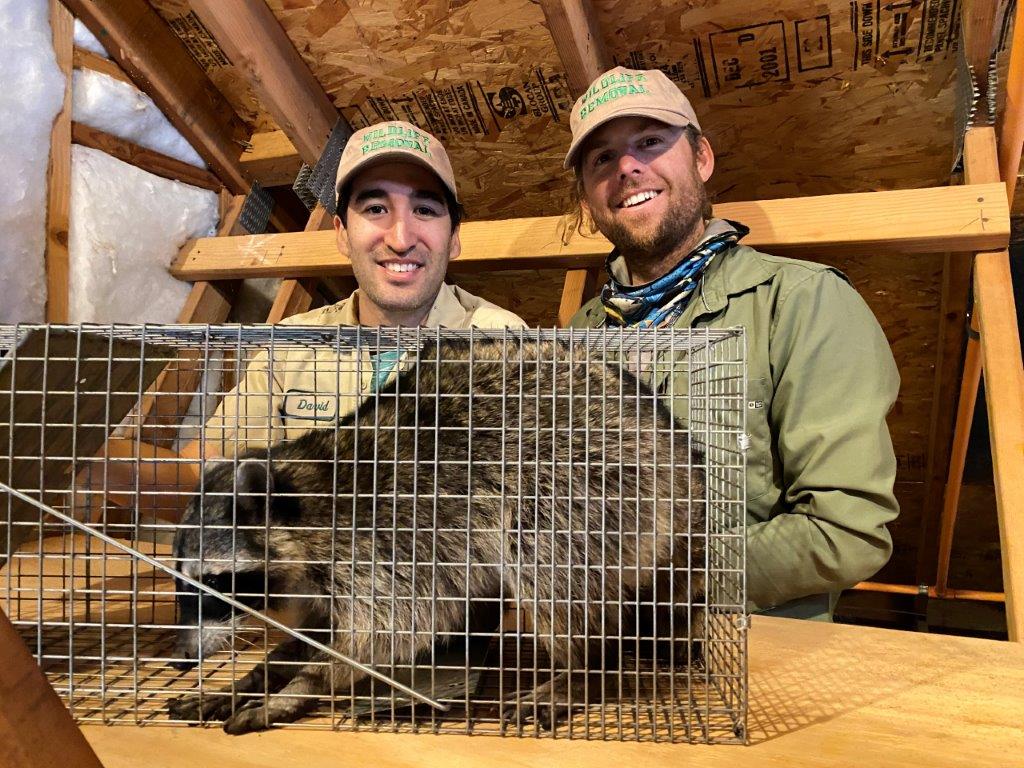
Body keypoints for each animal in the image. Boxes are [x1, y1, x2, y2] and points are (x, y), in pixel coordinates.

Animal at [167, 336, 706, 734]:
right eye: (180, 583)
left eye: (214, 583)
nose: (181, 657)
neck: (301, 496)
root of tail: (680, 452)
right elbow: (314, 634)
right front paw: (253, 678)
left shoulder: (384, 546)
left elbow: (380, 638)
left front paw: (302, 686)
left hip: (593, 480)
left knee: (544, 564)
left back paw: (583, 668)